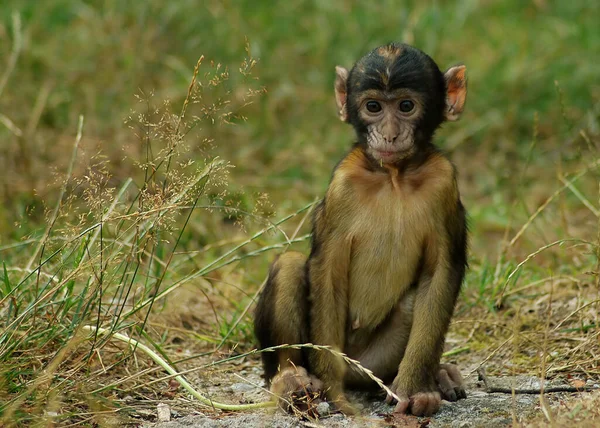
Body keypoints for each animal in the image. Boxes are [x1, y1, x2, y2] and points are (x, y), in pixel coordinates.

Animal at [253, 41, 468, 416]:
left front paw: (416, 390)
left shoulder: (443, 183)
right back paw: (291, 380)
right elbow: (328, 270)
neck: (393, 177)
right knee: (291, 265)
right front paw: (333, 394)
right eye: (373, 107)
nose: (390, 133)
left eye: (406, 106)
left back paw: (437, 376)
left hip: (376, 362)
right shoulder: (343, 185)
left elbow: (440, 272)